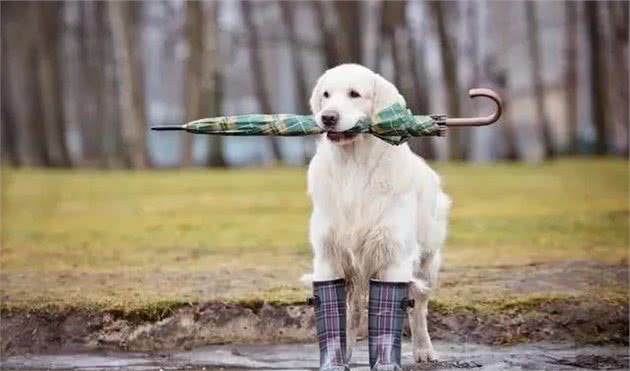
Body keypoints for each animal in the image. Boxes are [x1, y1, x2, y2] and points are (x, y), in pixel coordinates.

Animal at [304, 64, 450, 364]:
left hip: (428, 262)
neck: (354, 166)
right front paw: (336, 360)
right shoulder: (328, 256)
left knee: (418, 308)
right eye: (326, 94)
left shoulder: (393, 255)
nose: (328, 117)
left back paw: (424, 350)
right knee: (354, 310)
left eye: (354, 94)